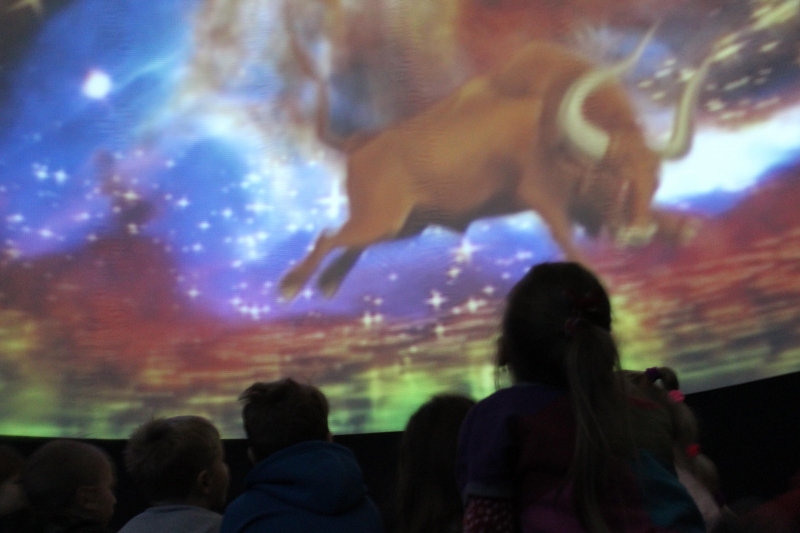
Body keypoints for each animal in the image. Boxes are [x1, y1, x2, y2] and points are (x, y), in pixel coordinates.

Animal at [279, 28, 712, 299]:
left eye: (655, 180)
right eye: (614, 176)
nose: (638, 235)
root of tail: (358, 144)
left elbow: (669, 218)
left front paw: (681, 229)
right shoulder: (544, 199)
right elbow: (569, 241)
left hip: (404, 226)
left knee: (349, 243)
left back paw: (328, 284)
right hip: (381, 219)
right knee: (328, 237)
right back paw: (292, 285)